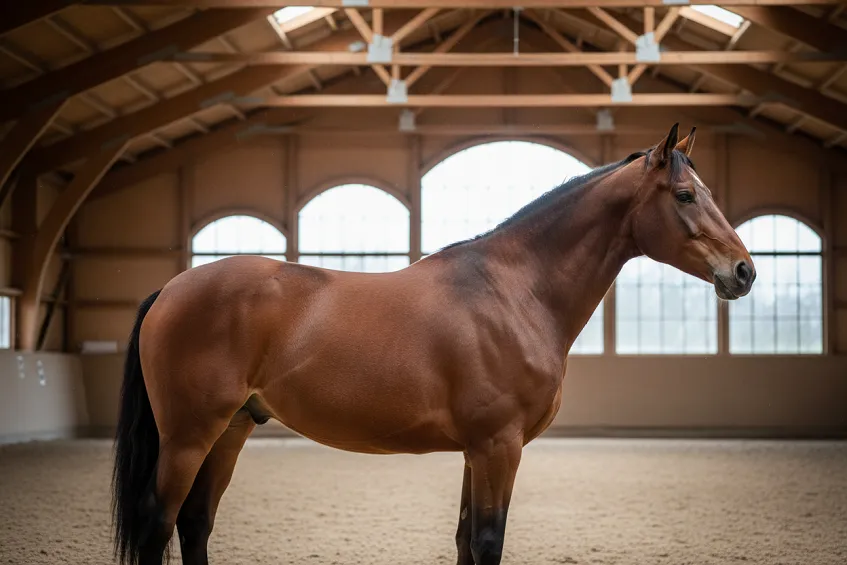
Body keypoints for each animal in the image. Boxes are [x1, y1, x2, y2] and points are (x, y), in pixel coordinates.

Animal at [112, 123, 755, 565]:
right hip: (189, 436)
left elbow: (466, 541)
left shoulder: (478, 450)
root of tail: (172, 286)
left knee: (195, 524)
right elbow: (488, 542)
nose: (744, 272)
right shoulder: (498, 446)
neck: (515, 291)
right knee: (159, 523)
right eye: (684, 195)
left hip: (232, 429)